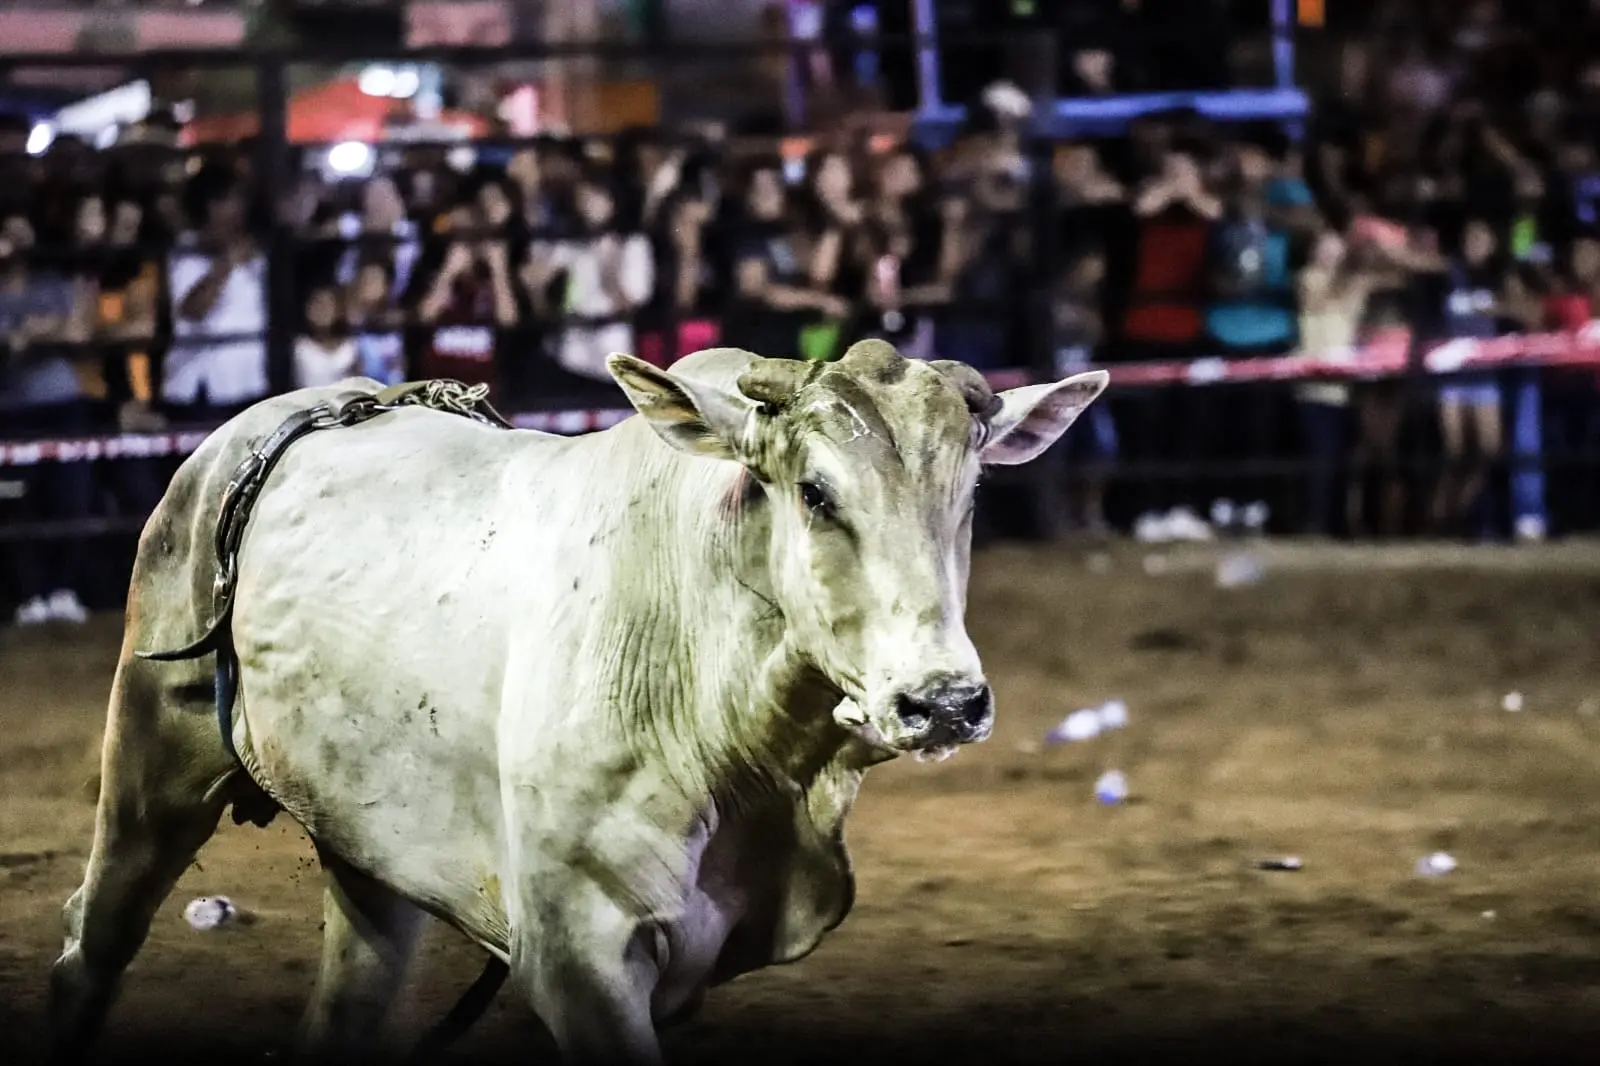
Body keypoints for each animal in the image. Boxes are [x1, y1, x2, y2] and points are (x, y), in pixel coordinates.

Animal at [48, 339, 1108, 1065]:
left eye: (968, 496)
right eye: (815, 492)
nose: (945, 702)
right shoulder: (578, 956)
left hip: (366, 852)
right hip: (151, 756)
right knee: (92, 946)